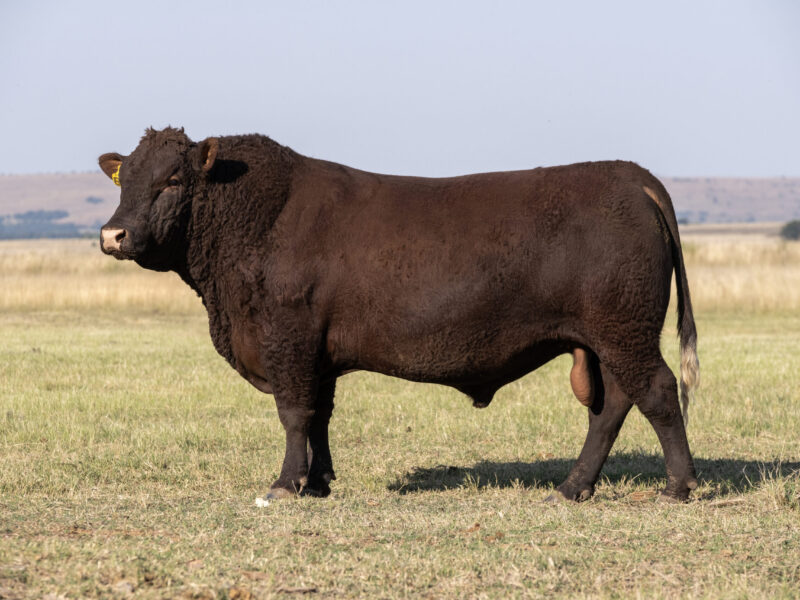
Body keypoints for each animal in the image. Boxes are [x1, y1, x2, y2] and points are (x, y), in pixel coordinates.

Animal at [99, 127, 699, 502]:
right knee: (612, 406)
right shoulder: (316, 352)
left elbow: (294, 415)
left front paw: (285, 485)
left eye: (173, 180)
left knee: (657, 391)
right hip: (606, 339)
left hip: (624, 331)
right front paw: (319, 482)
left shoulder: (288, 339)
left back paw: (678, 486)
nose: (112, 234)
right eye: (126, 179)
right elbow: (320, 416)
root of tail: (630, 175)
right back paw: (574, 487)